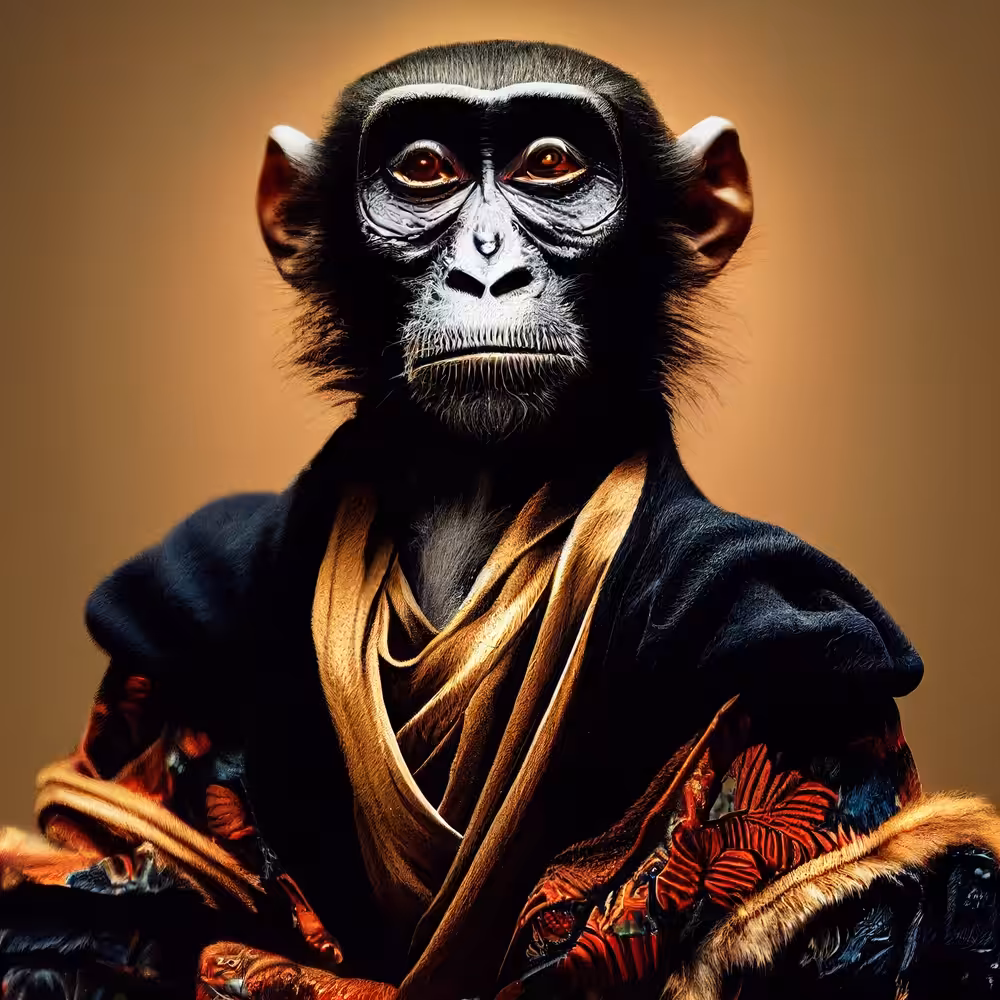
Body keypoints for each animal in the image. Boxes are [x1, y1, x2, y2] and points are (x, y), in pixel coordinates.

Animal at [0, 40, 998, 1000]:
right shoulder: (169, 625)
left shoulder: (810, 671)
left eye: (550, 163)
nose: (485, 268)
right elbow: (90, 903)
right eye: (425, 168)